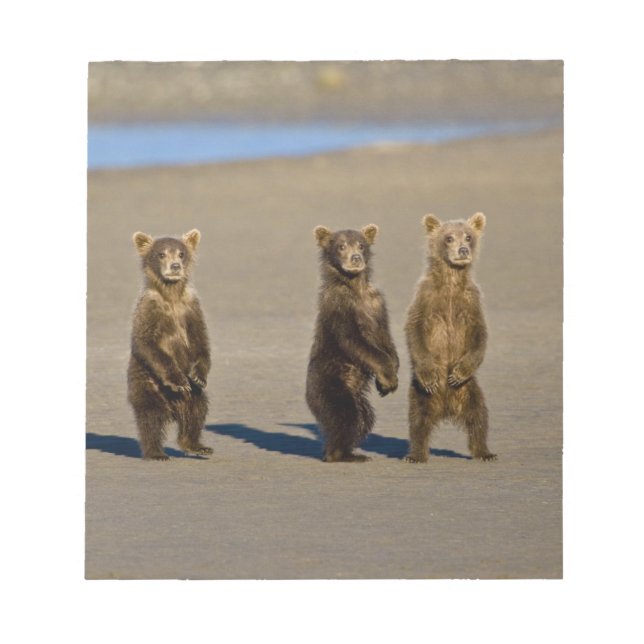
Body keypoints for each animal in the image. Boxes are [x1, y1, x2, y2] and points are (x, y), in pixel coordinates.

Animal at [127, 229, 212, 460]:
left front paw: (198, 375)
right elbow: (146, 343)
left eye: (181, 253)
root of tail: (174, 407)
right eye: (161, 254)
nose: (175, 266)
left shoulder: (191, 308)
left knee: (197, 410)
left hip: (193, 398)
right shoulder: (149, 310)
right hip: (147, 384)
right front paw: (179, 381)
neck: (171, 295)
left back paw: (197, 445)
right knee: (151, 417)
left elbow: (200, 341)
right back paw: (156, 452)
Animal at [305, 224, 399, 462]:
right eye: (341, 246)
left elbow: (386, 339)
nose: (356, 258)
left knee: (364, 417)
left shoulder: (376, 304)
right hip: (330, 385)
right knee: (344, 417)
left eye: (361, 245)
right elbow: (357, 342)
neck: (355, 287)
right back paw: (339, 454)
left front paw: (387, 381)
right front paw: (388, 377)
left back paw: (351, 451)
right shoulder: (341, 308)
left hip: (356, 395)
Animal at [404, 212, 496, 463]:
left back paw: (484, 452)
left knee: (478, 417)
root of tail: (446, 409)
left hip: (470, 390)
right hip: (421, 395)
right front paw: (428, 374)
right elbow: (414, 329)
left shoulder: (471, 301)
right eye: (448, 238)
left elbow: (480, 334)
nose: (463, 249)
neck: (451, 281)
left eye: (468, 236)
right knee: (418, 421)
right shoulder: (426, 298)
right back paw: (416, 454)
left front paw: (458, 372)